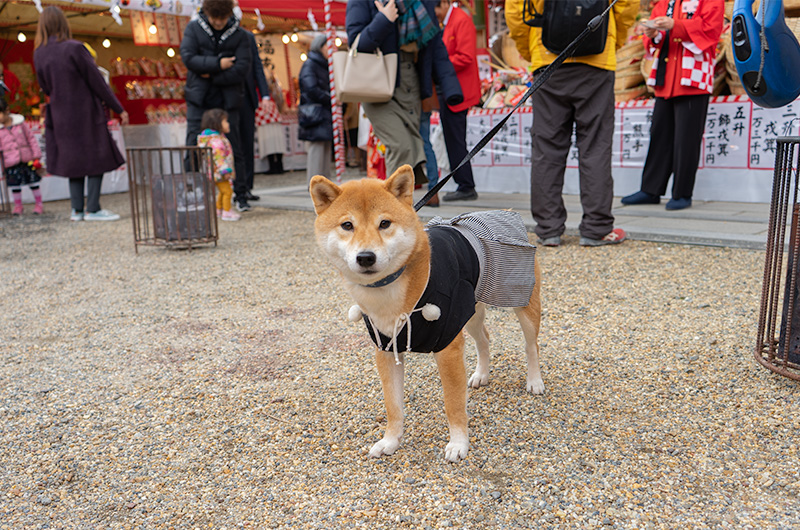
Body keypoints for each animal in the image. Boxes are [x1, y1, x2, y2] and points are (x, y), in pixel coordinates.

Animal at [308, 165, 544, 462]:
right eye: (347, 225)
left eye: (384, 224)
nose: (365, 257)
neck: (390, 293)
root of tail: (506, 212)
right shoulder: (387, 349)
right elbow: (393, 406)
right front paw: (390, 441)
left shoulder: (448, 346)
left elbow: (453, 404)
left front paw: (458, 444)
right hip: (471, 312)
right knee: (485, 339)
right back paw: (481, 374)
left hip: (520, 300)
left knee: (531, 344)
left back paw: (534, 381)